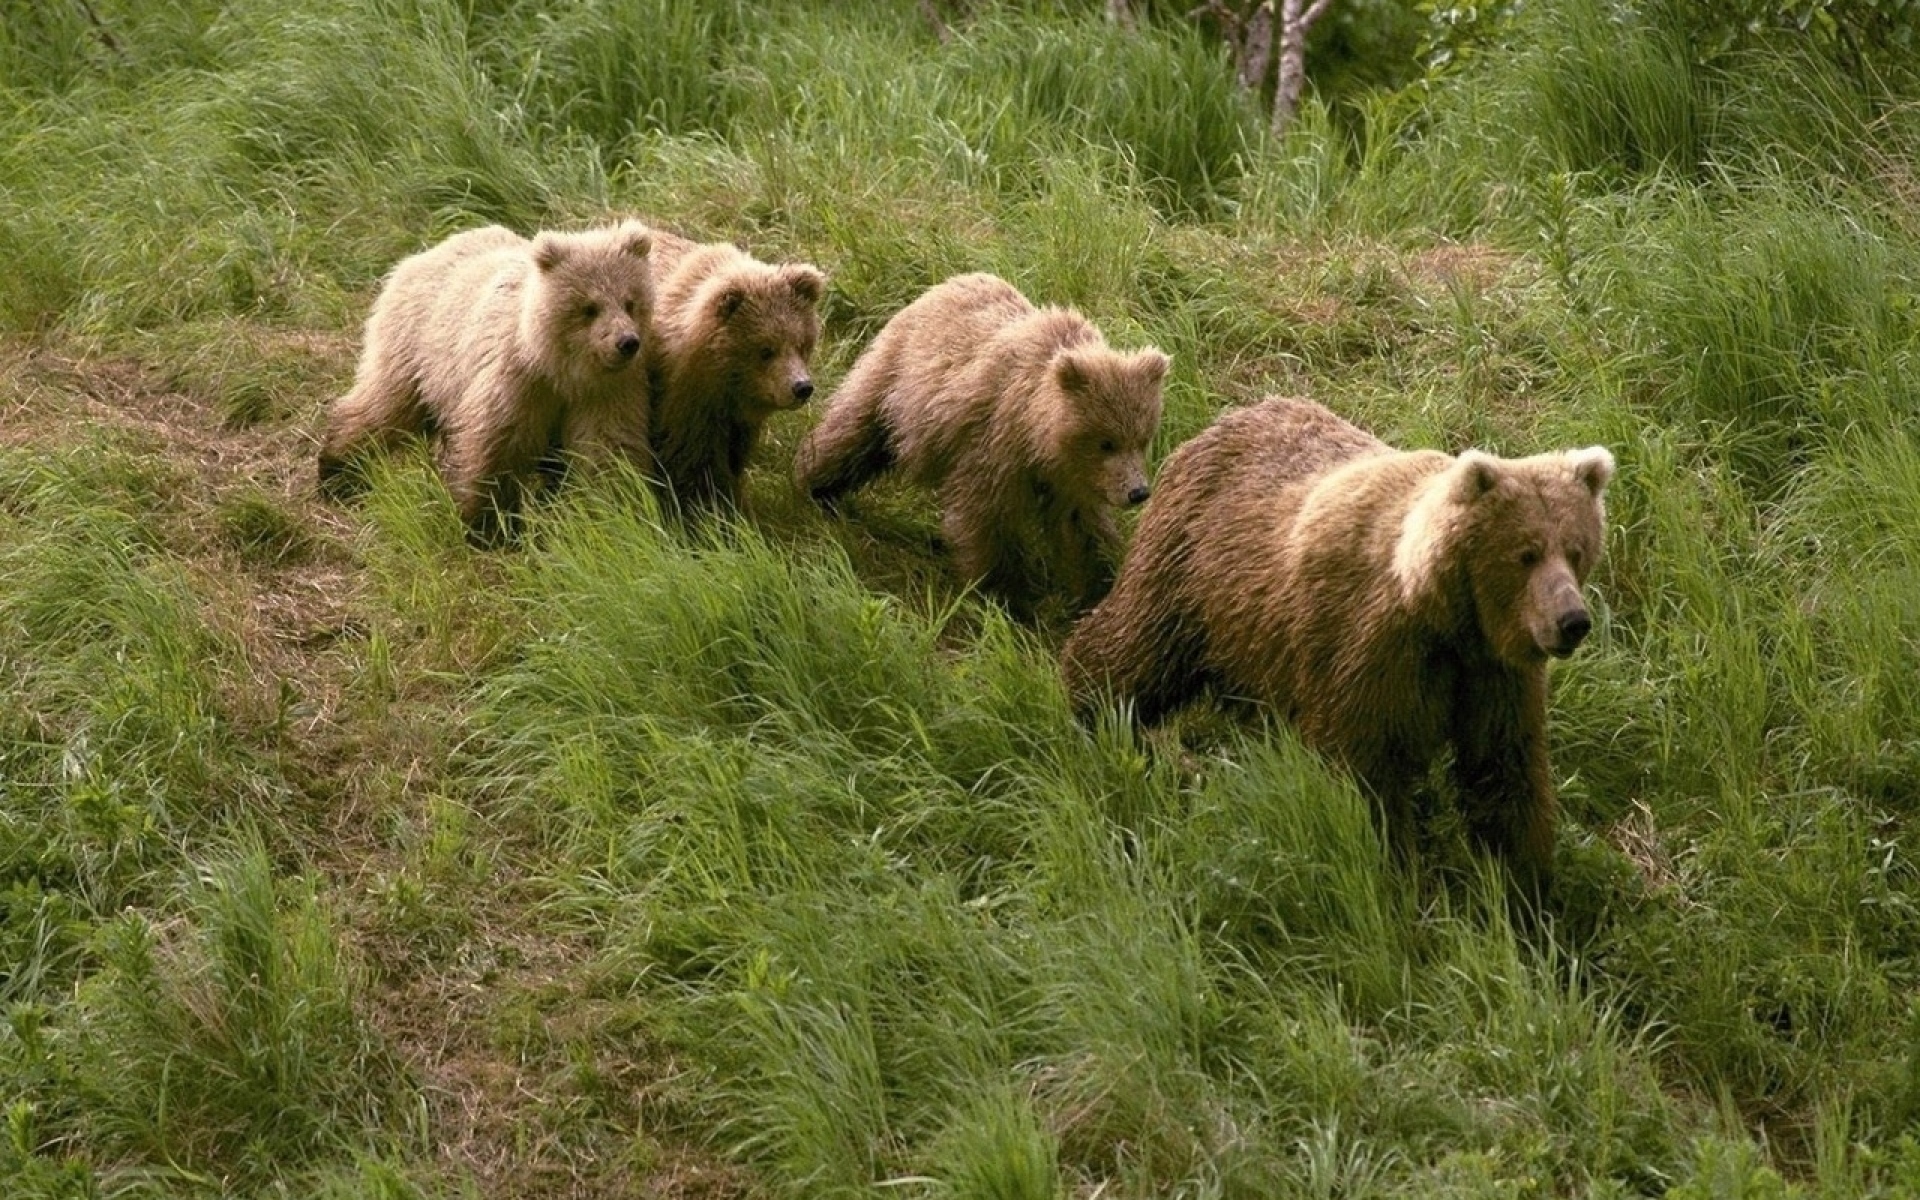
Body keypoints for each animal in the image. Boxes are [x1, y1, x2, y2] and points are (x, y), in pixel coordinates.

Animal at [318, 219, 656, 541]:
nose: (627, 342)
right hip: (416, 350)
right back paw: (336, 472)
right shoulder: (516, 381)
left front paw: (615, 514)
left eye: (630, 302)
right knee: (384, 407)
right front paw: (489, 528)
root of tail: (424, 254)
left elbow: (607, 450)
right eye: (589, 307)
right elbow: (495, 447)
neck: (559, 369)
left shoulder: (606, 391)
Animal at [645, 231, 825, 518]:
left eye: (801, 344)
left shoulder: (737, 421)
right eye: (766, 349)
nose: (801, 387)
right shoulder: (685, 401)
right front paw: (706, 508)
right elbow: (693, 461)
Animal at [791, 274, 1167, 618]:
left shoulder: (1071, 481)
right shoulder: (994, 443)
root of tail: (945, 284)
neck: (1038, 437)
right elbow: (983, 517)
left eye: (1142, 439)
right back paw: (814, 485)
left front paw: (1098, 590)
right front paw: (1005, 596)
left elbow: (1082, 531)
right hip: (896, 380)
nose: (1138, 492)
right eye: (1106, 442)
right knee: (854, 430)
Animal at [1059, 395, 1612, 898]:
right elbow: (1364, 775)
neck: (1445, 619)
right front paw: (1395, 874)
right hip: (1190, 575)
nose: (1572, 621)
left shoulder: (1491, 676)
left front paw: (1525, 889)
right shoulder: (1368, 653)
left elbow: (1504, 773)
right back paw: (1092, 707)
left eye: (1575, 549)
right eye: (1525, 553)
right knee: (1134, 649)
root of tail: (1219, 422)